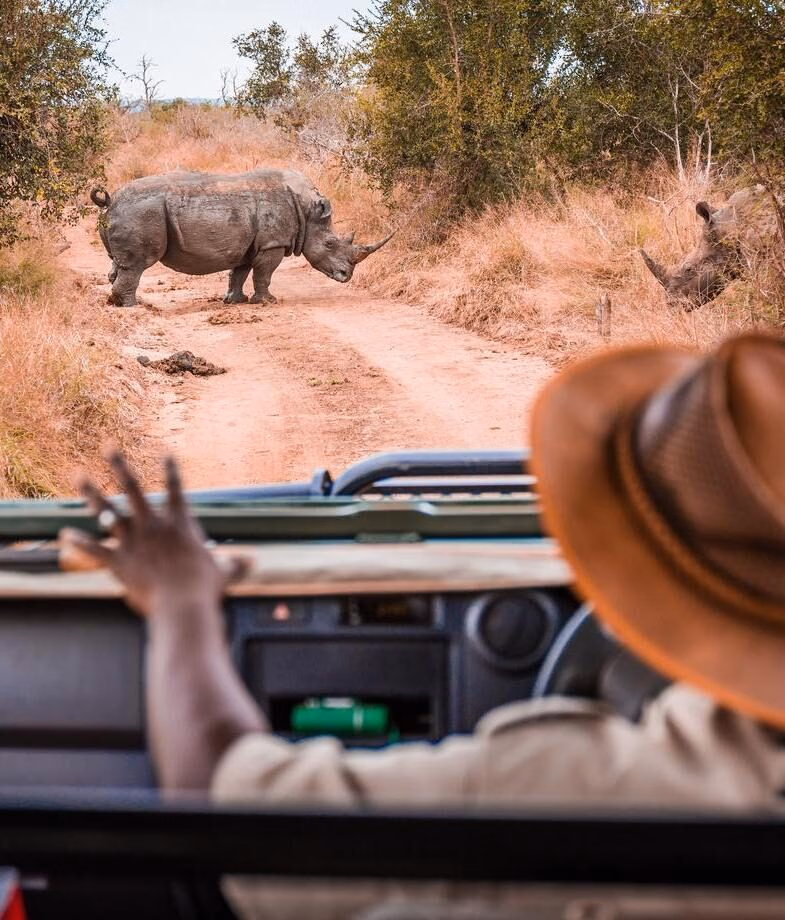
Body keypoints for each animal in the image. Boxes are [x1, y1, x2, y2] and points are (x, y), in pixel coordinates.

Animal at [90, 169, 394, 307]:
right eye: (330, 244)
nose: (346, 276)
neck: (308, 211)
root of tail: (110, 201)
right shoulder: (272, 243)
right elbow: (264, 273)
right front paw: (268, 302)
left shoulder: (249, 244)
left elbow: (240, 271)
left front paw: (235, 301)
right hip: (142, 213)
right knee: (137, 264)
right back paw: (135, 306)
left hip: (130, 213)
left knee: (119, 263)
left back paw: (118, 304)